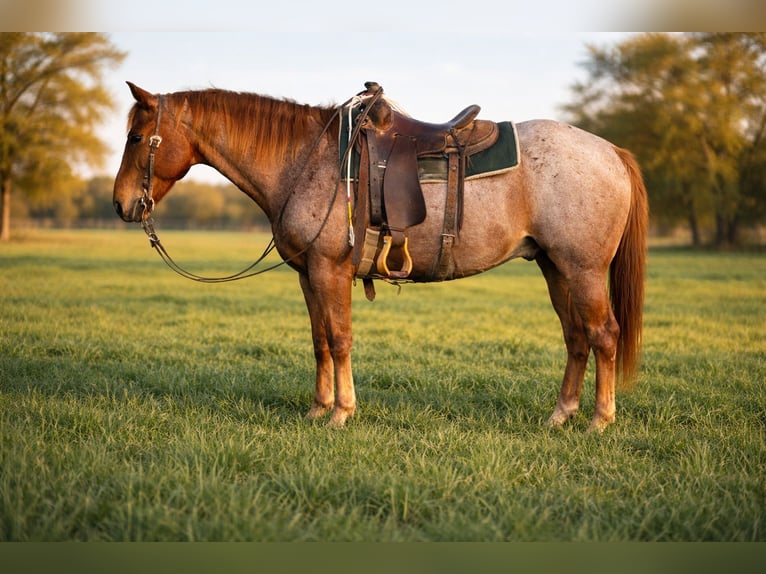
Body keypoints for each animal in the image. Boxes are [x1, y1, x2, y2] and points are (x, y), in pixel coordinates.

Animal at [113, 82, 648, 432]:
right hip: (554, 267)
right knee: (576, 337)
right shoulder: (308, 275)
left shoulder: (329, 269)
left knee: (603, 334)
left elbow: (340, 339)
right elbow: (320, 341)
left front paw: (341, 413)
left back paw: (600, 421)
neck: (305, 160)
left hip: (583, 270)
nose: (121, 205)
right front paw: (317, 408)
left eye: (136, 138)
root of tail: (612, 152)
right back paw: (560, 416)